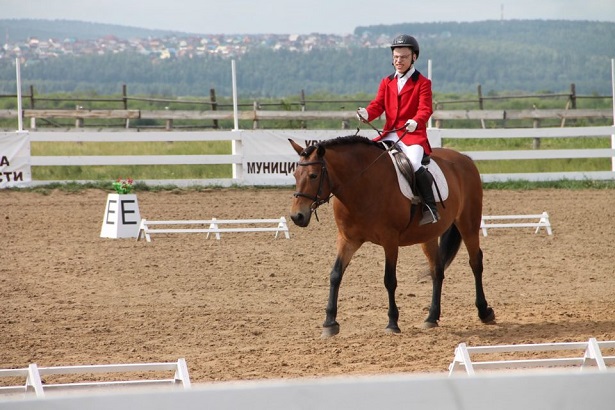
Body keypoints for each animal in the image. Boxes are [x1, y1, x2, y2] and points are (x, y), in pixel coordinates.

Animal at [288, 136, 496, 338]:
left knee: (475, 262)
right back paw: (431, 317)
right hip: (428, 235)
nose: (297, 216)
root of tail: (464, 158)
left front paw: (392, 323)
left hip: (468, 224)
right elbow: (335, 275)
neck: (362, 184)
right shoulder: (347, 240)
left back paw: (484, 311)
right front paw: (329, 323)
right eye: (295, 175)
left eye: (313, 175)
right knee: (437, 270)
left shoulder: (390, 241)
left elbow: (389, 280)